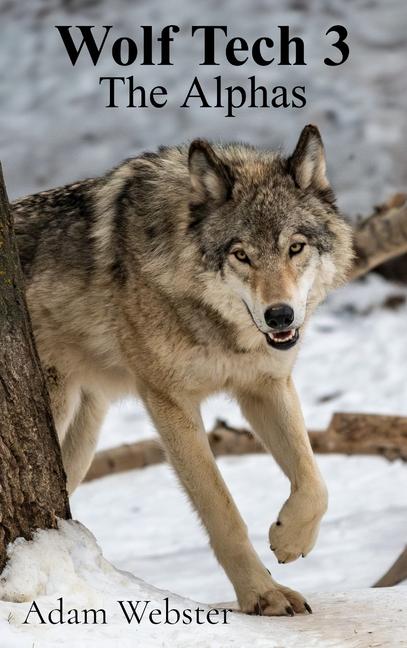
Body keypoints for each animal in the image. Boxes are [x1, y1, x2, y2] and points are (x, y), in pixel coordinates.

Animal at [12, 125, 353, 616]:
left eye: (296, 247)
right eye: (241, 255)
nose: (280, 316)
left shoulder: (266, 385)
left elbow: (314, 482)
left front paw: (290, 539)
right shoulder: (169, 402)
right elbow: (222, 510)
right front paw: (261, 594)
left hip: (78, 443)